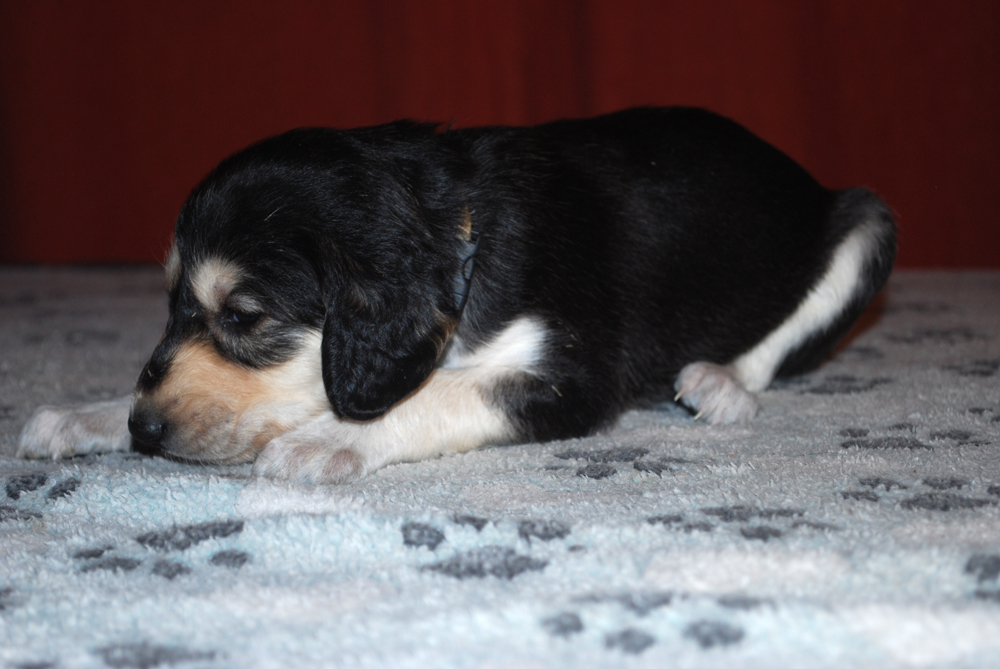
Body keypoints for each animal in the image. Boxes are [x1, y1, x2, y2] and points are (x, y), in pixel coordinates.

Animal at [17, 107, 896, 484]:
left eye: (244, 317)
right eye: (171, 306)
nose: (145, 431)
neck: (461, 229)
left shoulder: (568, 377)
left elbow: (434, 397)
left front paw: (326, 439)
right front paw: (89, 415)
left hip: (867, 223)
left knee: (779, 342)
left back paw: (723, 384)